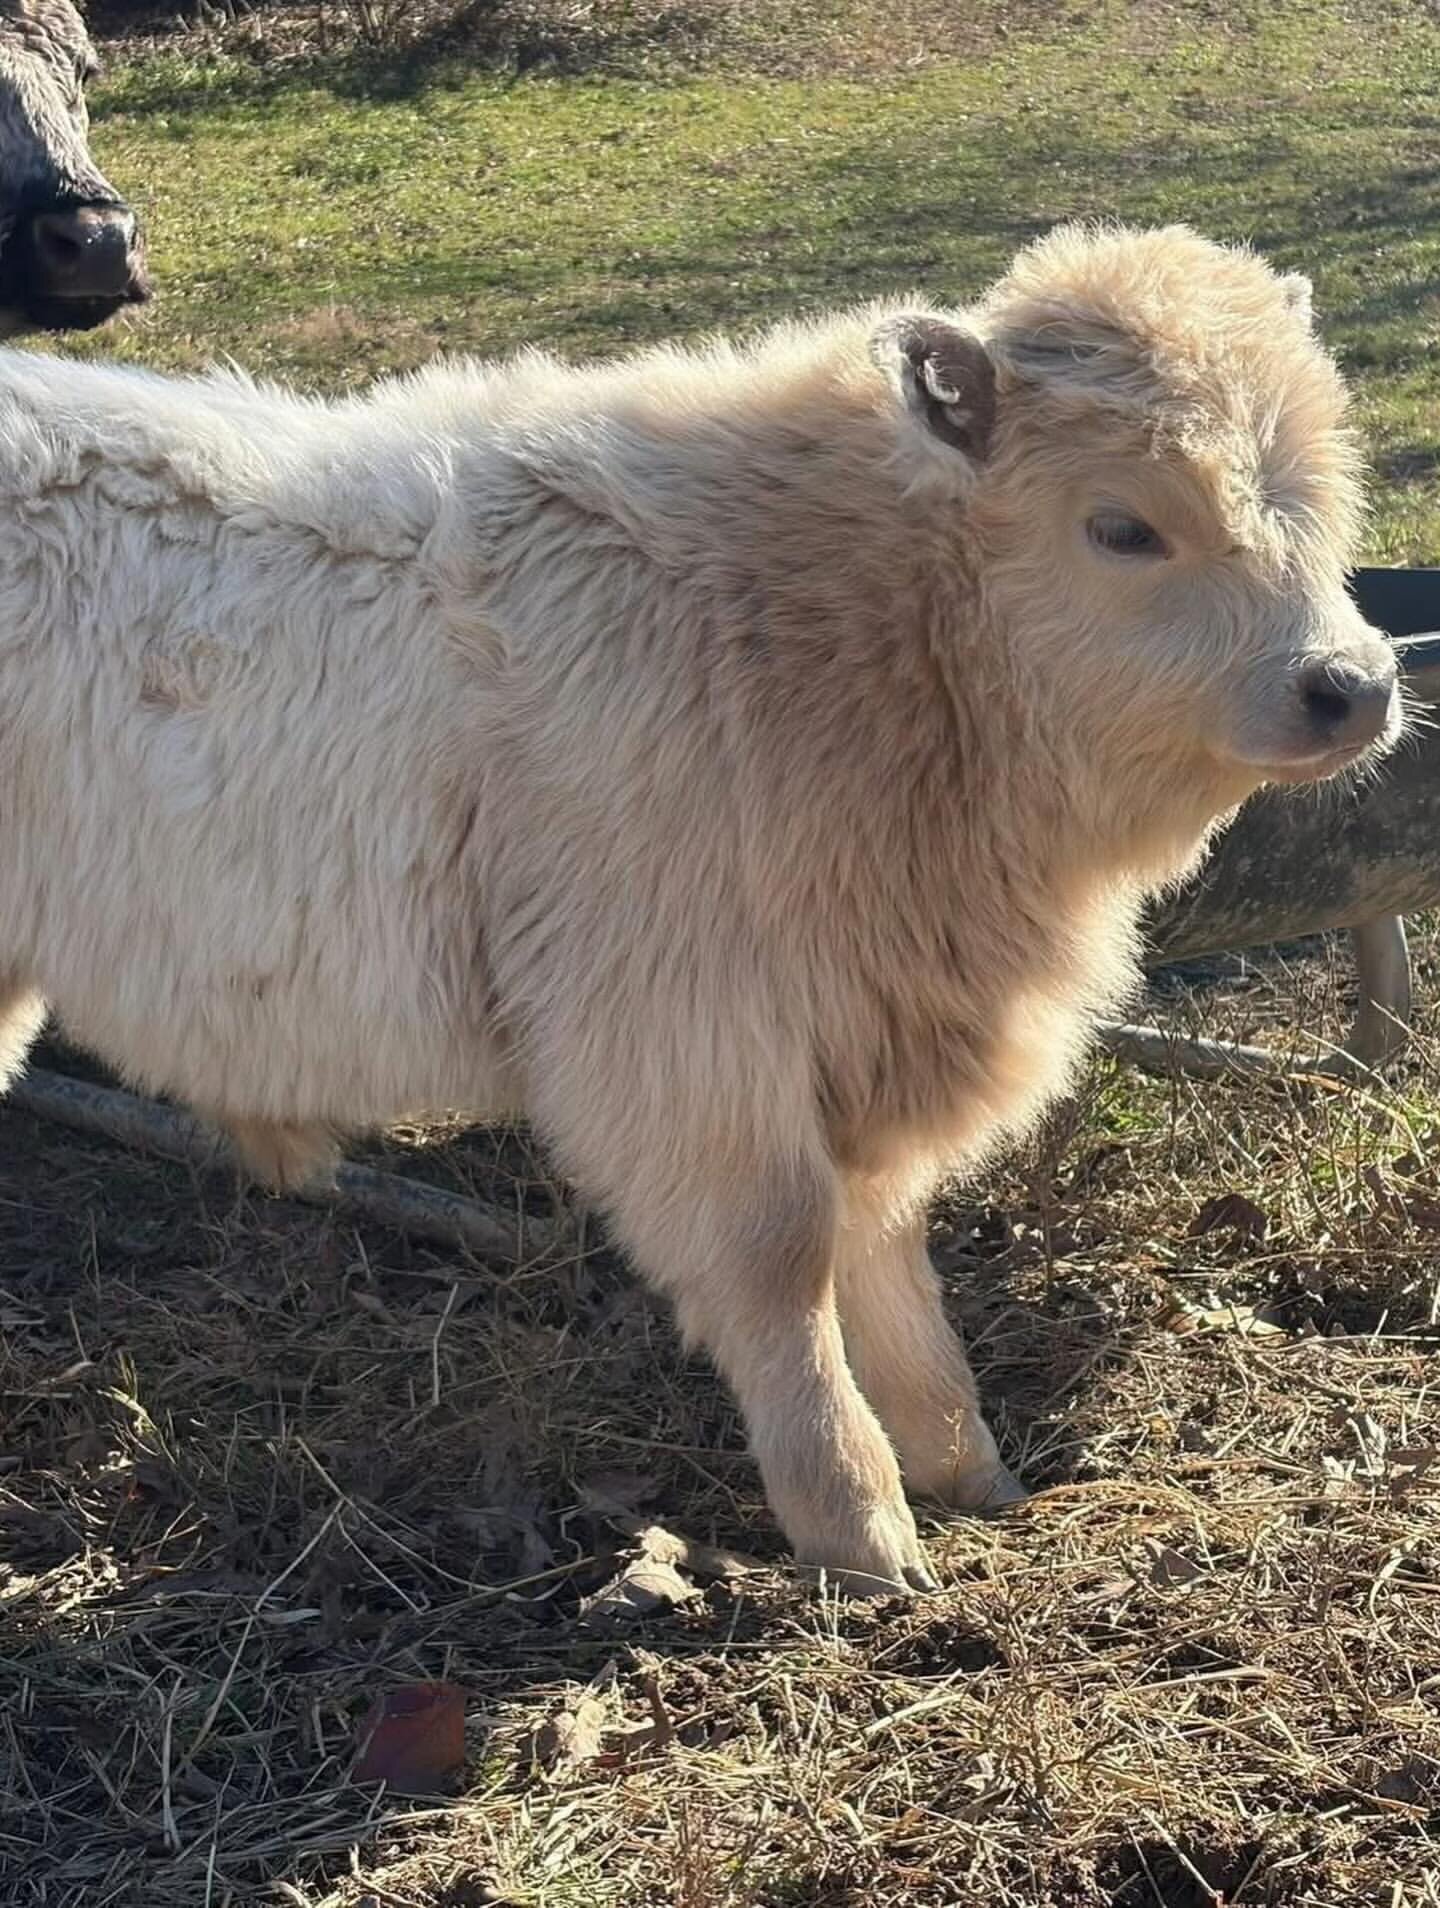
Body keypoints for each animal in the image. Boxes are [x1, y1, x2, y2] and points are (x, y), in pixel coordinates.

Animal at [0, 224, 1400, 1593]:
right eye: (1121, 526)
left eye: (1321, 493)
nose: (1354, 686)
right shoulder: (684, 1034)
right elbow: (780, 1258)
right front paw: (860, 1530)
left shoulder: (870, 1025)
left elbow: (886, 1246)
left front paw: (967, 1469)